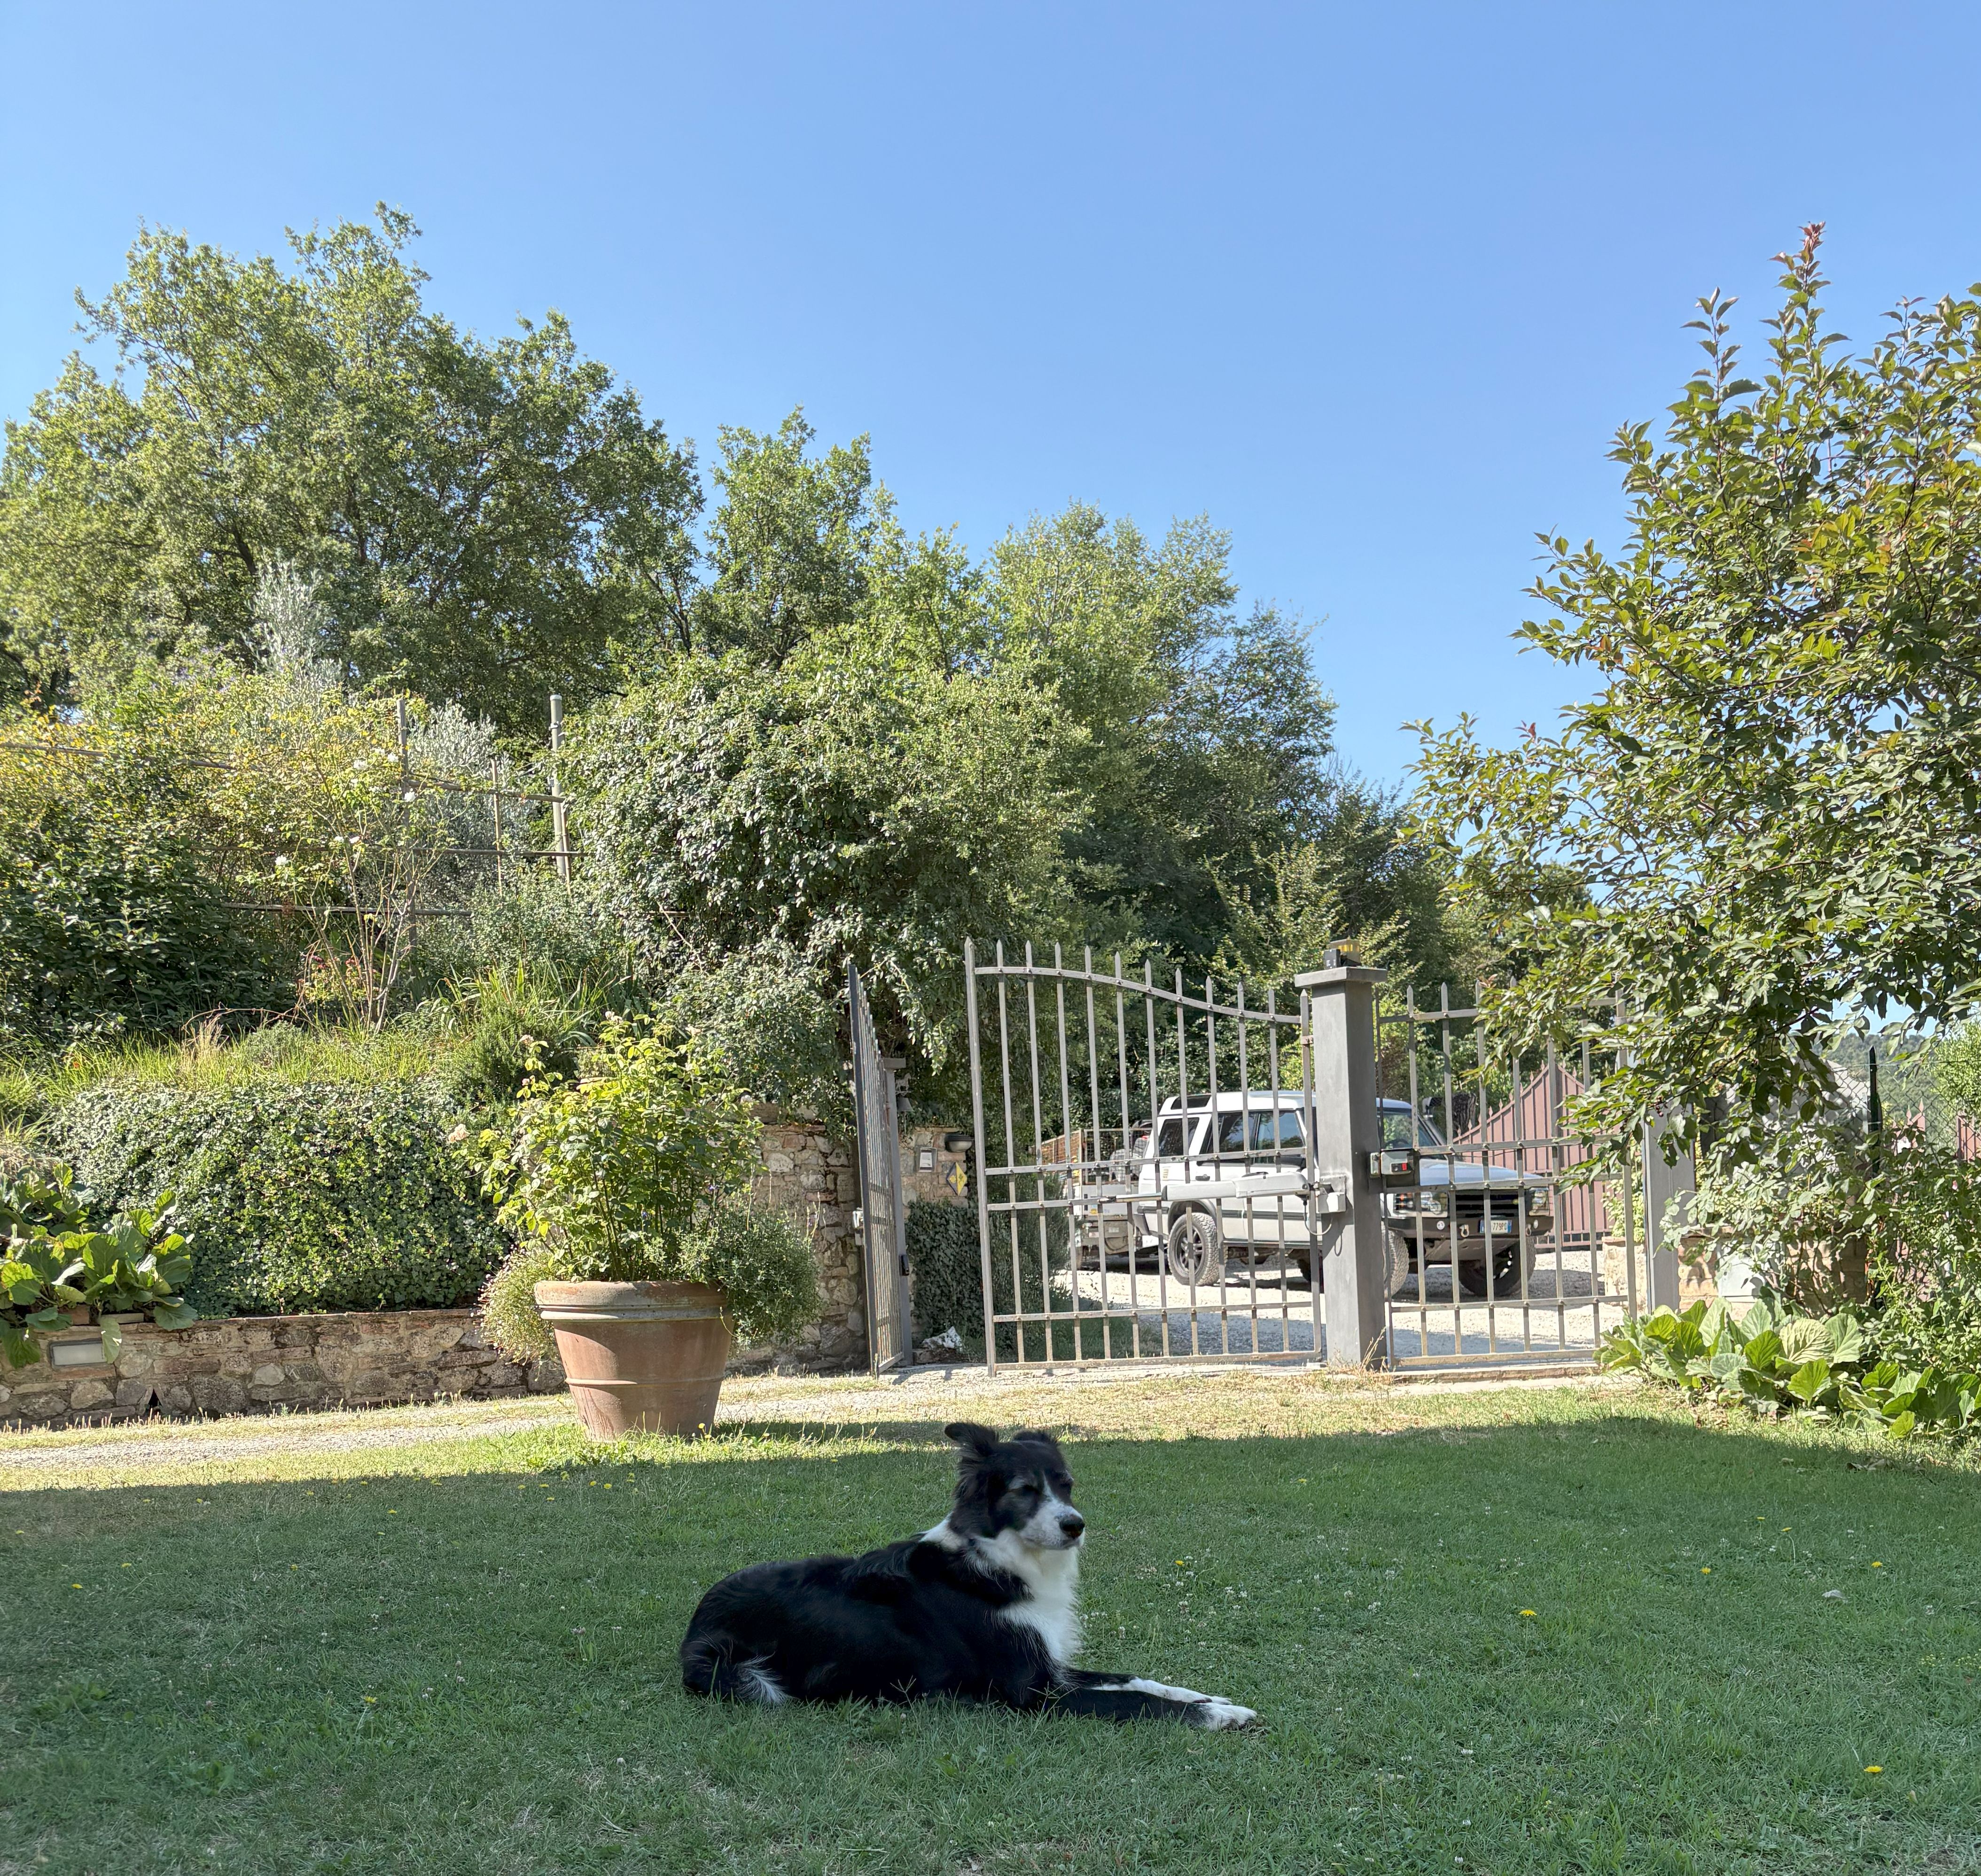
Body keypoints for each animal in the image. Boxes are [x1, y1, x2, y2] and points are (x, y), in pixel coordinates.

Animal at [679, 1421, 1257, 1728]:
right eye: (1024, 1490)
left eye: (1067, 1485)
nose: (1075, 1526)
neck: (1001, 1560)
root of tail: (698, 1621)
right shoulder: (1034, 1691)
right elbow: (1137, 1700)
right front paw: (1217, 1717)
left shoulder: (1051, 1664)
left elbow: (1137, 1679)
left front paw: (1208, 1699)